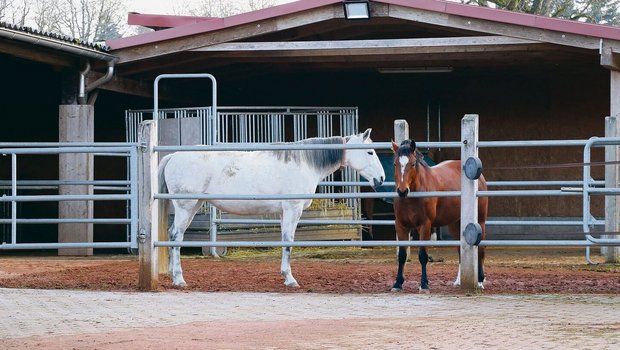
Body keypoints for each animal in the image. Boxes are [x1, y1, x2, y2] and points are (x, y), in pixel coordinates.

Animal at [157, 129, 386, 288]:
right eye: (370, 152)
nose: (381, 179)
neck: (304, 163)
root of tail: (173, 156)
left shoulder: (285, 213)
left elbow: (285, 241)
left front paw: (286, 276)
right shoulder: (293, 210)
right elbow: (288, 242)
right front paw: (290, 279)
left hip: (192, 206)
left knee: (172, 235)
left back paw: (173, 276)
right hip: (186, 207)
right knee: (176, 236)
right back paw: (179, 279)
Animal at [390, 139, 486, 292]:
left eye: (412, 164)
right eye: (395, 164)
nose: (402, 191)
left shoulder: (425, 225)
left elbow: (423, 255)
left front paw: (424, 284)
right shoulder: (401, 225)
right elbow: (402, 256)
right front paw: (397, 283)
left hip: (480, 221)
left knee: (481, 249)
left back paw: (480, 280)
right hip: (455, 225)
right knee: (460, 250)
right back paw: (458, 281)